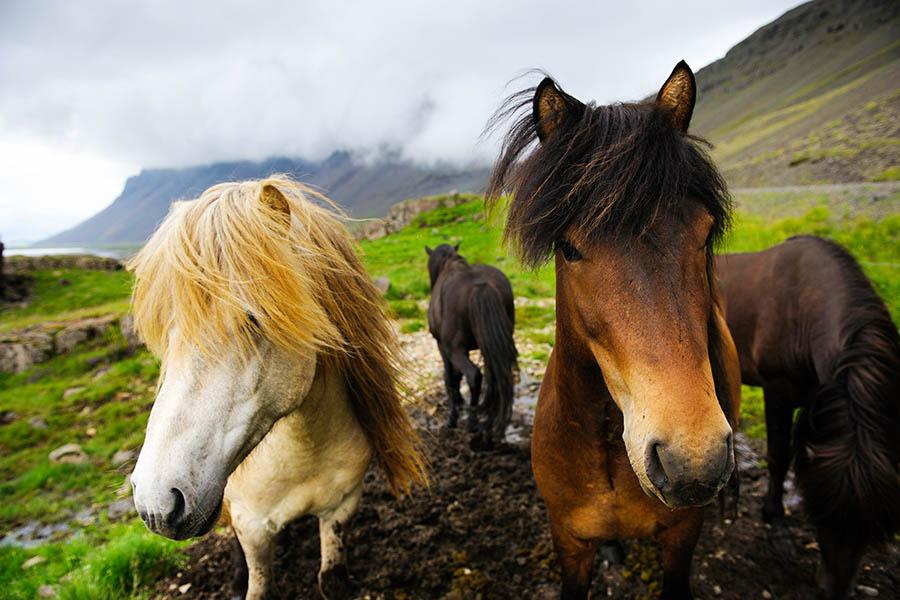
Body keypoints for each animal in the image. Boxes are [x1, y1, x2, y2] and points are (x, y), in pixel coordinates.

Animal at [127, 177, 426, 600]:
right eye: (167, 332)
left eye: (254, 319)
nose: (156, 504)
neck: (304, 452)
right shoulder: (252, 526)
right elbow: (258, 583)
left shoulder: (342, 508)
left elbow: (331, 578)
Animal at [426, 243, 517, 445]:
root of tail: (480, 287)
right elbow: (456, 376)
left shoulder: (443, 347)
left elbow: (450, 378)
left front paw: (453, 416)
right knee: (495, 377)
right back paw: (490, 422)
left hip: (455, 350)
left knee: (474, 375)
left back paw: (473, 422)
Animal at [717, 236, 900, 600]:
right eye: (823, 513)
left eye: (872, 524)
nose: (834, 589)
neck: (803, 303)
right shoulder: (778, 389)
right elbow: (778, 456)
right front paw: (776, 525)